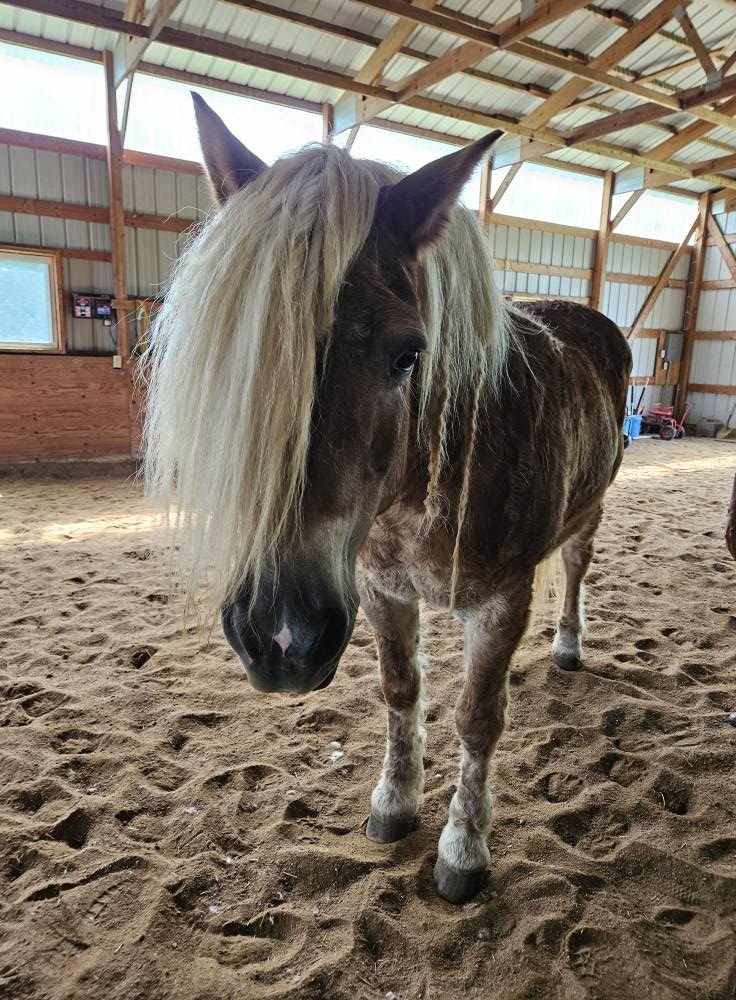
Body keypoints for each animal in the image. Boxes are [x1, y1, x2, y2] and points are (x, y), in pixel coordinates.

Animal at [144, 95, 631, 904]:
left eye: (409, 354)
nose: (281, 637)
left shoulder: (502, 602)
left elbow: (477, 719)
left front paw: (463, 848)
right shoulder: (378, 589)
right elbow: (401, 690)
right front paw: (395, 803)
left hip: (588, 514)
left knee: (575, 568)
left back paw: (568, 645)